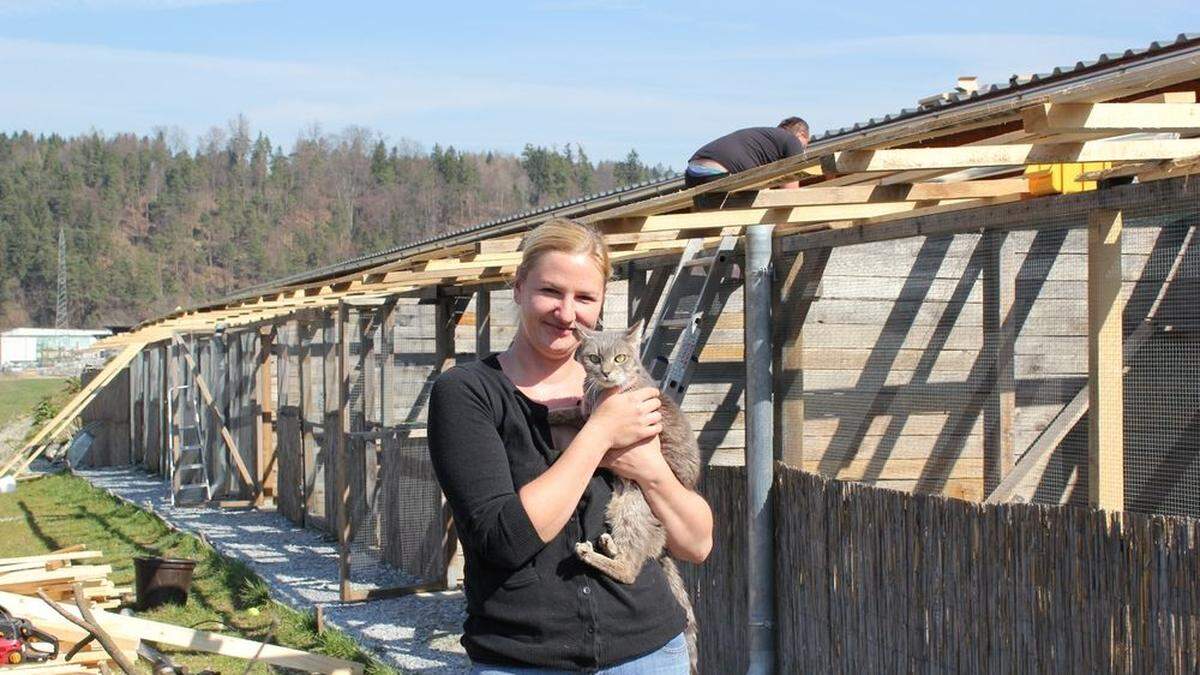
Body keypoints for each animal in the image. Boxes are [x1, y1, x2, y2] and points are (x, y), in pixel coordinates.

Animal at [547, 324, 700, 667]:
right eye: (593, 358)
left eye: (620, 357)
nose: (605, 372)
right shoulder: (587, 406)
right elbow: (576, 411)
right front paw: (553, 411)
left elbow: (585, 427)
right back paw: (607, 545)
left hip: (631, 505)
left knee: (631, 569)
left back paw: (592, 552)